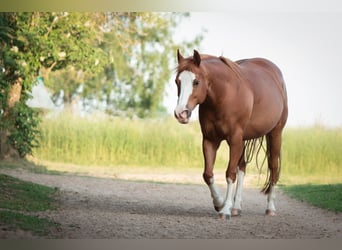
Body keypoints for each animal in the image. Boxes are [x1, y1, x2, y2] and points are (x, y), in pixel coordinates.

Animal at [175, 50, 288, 219]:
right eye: (178, 81)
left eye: (196, 82)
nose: (180, 113)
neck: (224, 96)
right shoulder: (210, 140)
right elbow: (208, 174)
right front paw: (219, 203)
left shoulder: (234, 140)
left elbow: (230, 174)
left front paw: (225, 209)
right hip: (243, 140)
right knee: (242, 168)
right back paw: (236, 207)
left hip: (275, 134)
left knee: (273, 168)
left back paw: (270, 208)